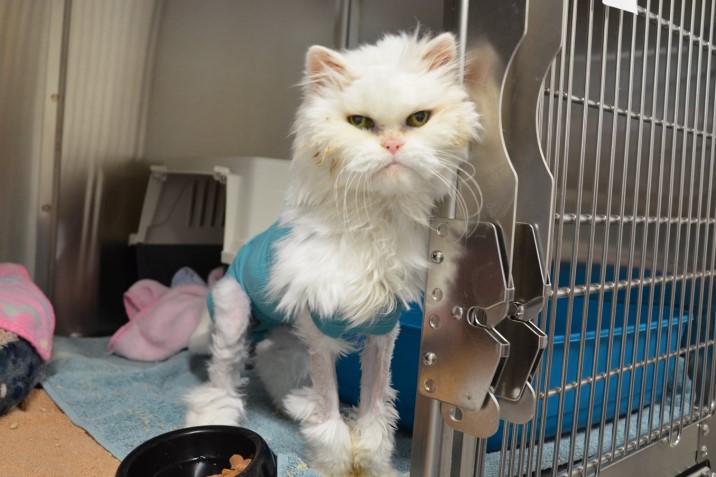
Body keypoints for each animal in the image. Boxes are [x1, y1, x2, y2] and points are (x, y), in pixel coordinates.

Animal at [184, 31, 482, 476]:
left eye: (418, 119)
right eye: (359, 123)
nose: (392, 144)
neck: (376, 221)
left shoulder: (381, 330)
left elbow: (376, 404)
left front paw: (372, 461)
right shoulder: (320, 331)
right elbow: (329, 408)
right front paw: (334, 460)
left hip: (288, 337)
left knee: (271, 363)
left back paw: (292, 406)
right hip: (235, 313)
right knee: (223, 374)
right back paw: (216, 413)